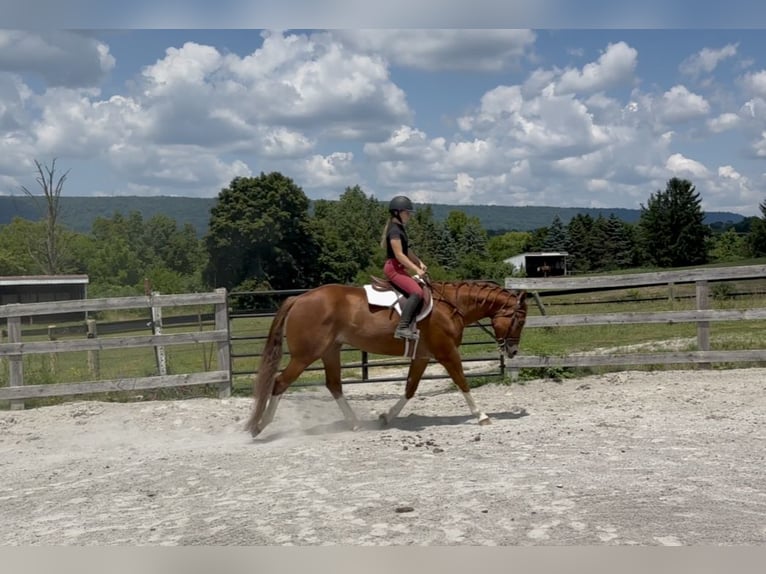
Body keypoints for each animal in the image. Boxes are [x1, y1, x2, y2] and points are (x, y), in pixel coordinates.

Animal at [244, 279, 528, 438]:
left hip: (330, 351)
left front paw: (386, 417)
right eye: (520, 320)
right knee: (280, 383)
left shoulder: (422, 356)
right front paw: (482, 416)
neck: (450, 306)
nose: (513, 352)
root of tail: (299, 297)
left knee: (334, 385)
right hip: (306, 355)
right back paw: (260, 426)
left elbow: (410, 388)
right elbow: (462, 382)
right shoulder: (446, 352)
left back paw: (355, 424)